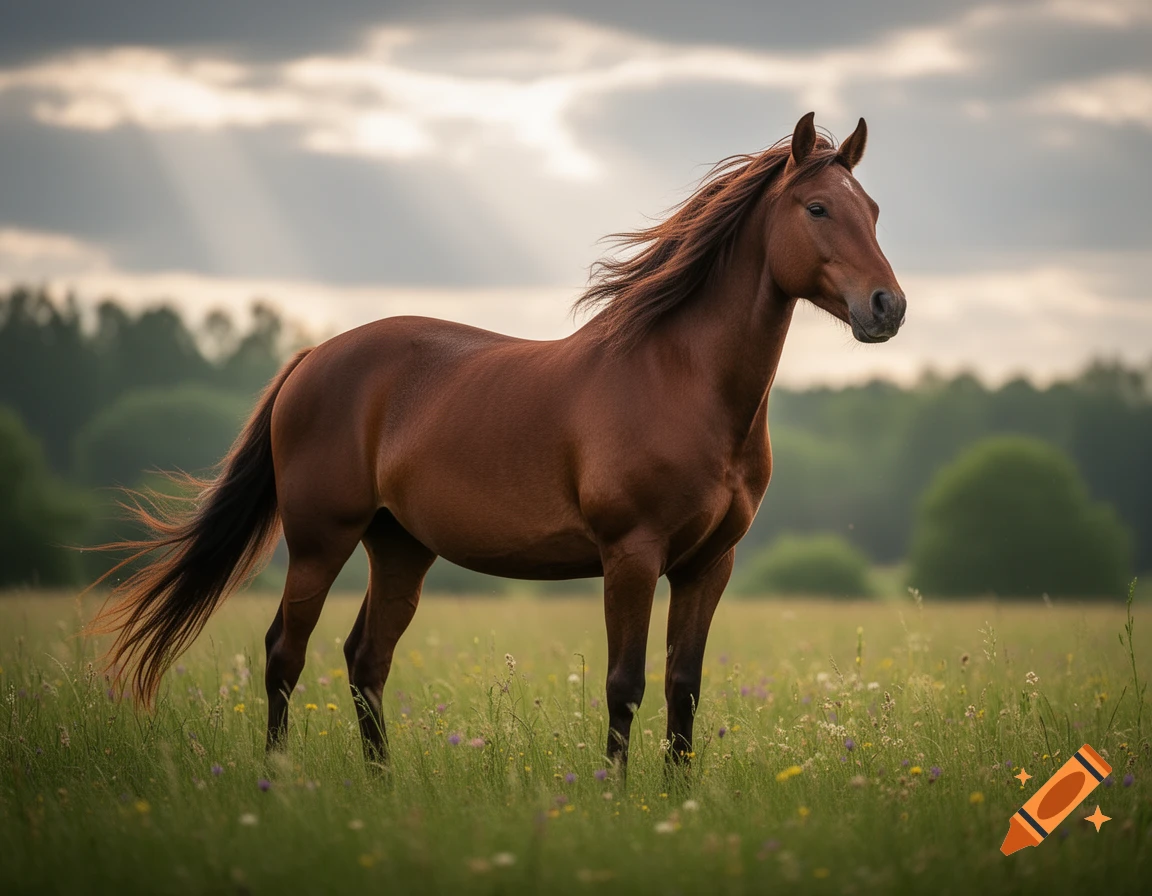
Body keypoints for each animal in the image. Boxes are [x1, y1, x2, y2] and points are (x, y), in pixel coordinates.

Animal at [89, 111, 906, 774]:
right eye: (817, 207)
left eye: (873, 210)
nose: (887, 307)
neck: (682, 382)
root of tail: (313, 358)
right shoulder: (632, 555)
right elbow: (625, 685)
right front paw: (617, 800)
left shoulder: (709, 565)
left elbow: (685, 689)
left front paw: (679, 800)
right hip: (320, 542)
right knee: (284, 654)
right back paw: (280, 778)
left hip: (400, 548)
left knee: (365, 660)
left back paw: (383, 785)